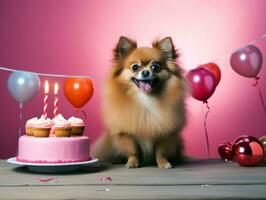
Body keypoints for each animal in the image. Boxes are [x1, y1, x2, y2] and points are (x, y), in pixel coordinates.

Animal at [92, 36, 186, 168]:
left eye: (155, 67)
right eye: (135, 67)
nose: (146, 72)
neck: (146, 99)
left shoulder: (165, 133)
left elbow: (160, 152)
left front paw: (163, 163)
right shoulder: (126, 134)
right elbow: (133, 151)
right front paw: (132, 162)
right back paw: (117, 159)